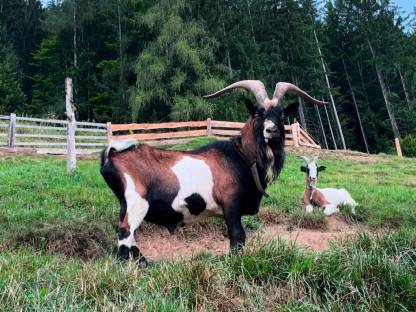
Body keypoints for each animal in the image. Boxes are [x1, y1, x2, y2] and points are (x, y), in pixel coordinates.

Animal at [101, 79, 324, 262]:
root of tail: (113, 154)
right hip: (136, 203)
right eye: (258, 113)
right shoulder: (230, 203)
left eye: (281, 114)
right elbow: (237, 235)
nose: (271, 130)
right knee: (125, 235)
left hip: (126, 205)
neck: (241, 156)